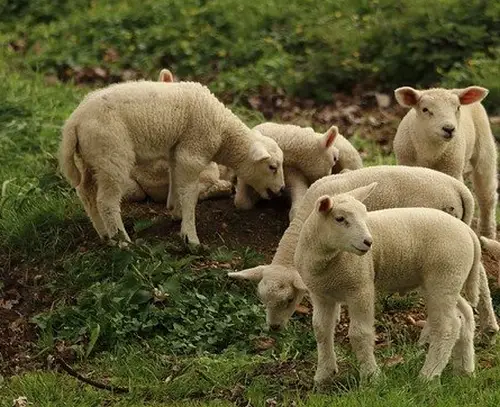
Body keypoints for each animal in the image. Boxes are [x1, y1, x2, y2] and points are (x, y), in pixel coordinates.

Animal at [58, 80, 286, 245]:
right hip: (112, 154)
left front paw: (176, 211)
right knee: (106, 201)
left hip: (91, 158)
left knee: (86, 193)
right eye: (272, 167)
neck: (223, 132)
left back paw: (105, 236)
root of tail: (74, 122)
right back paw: (123, 242)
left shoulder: (178, 152)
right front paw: (190, 236)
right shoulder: (193, 152)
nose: (282, 190)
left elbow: (176, 181)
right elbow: (190, 194)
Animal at [229, 165, 498, 338]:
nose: (273, 329)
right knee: (480, 273)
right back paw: (490, 325)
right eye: (262, 300)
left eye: (289, 299)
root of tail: (460, 188)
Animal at [294, 186, 478, 384]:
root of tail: (468, 231)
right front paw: (323, 375)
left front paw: (371, 376)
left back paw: (428, 375)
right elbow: (321, 331)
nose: (369, 242)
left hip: (444, 276)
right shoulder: (320, 295)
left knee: (447, 326)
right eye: (340, 219)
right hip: (447, 281)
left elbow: (360, 333)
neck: (328, 261)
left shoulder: (360, 288)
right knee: (465, 315)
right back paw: (465, 370)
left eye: (365, 215)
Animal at [392, 86, 498, 239]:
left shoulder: (453, 170)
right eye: (425, 109)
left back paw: (487, 234)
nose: (449, 129)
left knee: (486, 195)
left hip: (484, 148)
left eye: (458, 108)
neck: (431, 153)